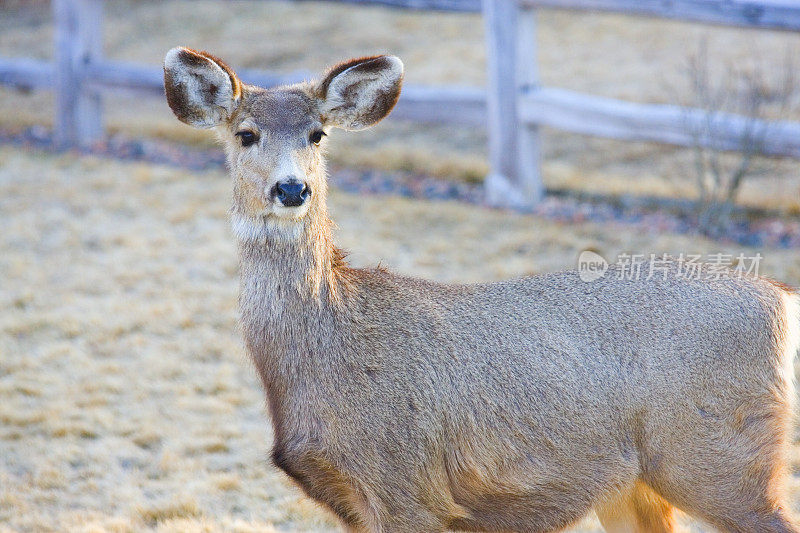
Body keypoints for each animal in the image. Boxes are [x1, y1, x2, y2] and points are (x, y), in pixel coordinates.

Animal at [164, 47, 800, 528]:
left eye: (317, 134)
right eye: (246, 135)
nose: (293, 189)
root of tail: (781, 300)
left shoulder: (407, 484)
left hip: (720, 458)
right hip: (635, 483)